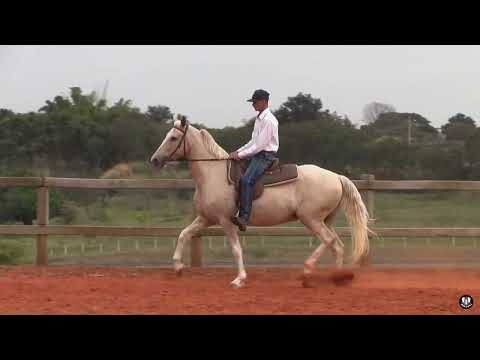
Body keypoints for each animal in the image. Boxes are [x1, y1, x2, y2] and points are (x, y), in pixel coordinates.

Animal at [152, 116, 374, 288]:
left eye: (173, 138)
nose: (155, 160)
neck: (212, 174)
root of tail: (336, 176)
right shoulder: (206, 218)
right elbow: (184, 234)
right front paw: (178, 267)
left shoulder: (225, 221)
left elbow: (236, 249)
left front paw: (239, 279)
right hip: (324, 220)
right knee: (337, 245)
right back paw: (338, 277)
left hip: (311, 219)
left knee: (328, 241)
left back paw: (307, 272)